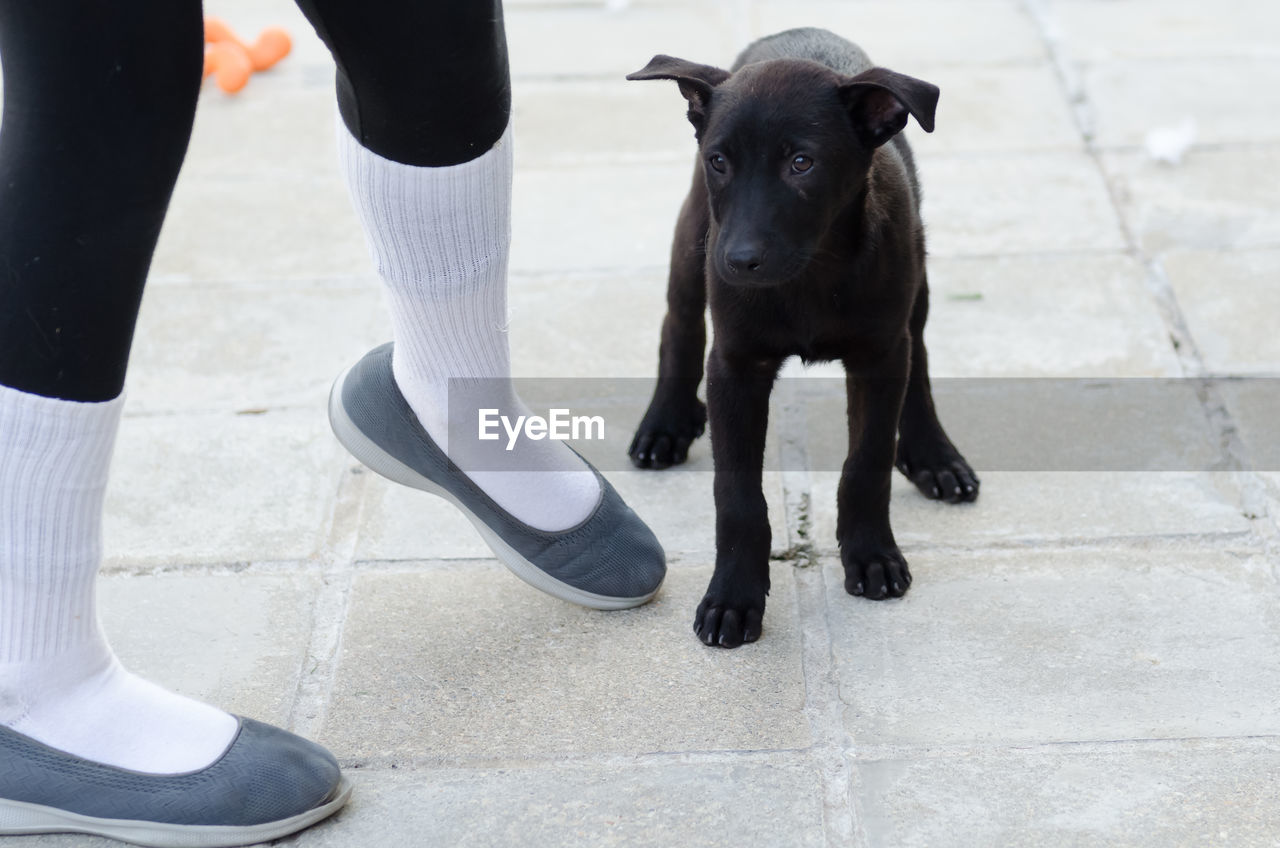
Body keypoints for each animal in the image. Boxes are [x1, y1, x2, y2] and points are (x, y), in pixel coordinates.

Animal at [629, 28, 977, 650]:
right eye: (720, 160)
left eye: (801, 163)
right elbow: (737, 496)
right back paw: (664, 422)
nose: (738, 261)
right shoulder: (735, 367)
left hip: (914, 288)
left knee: (919, 356)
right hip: (693, 239)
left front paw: (872, 555)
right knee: (680, 324)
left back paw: (934, 453)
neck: (811, 274)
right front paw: (733, 597)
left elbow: (866, 463)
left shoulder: (879, 357)